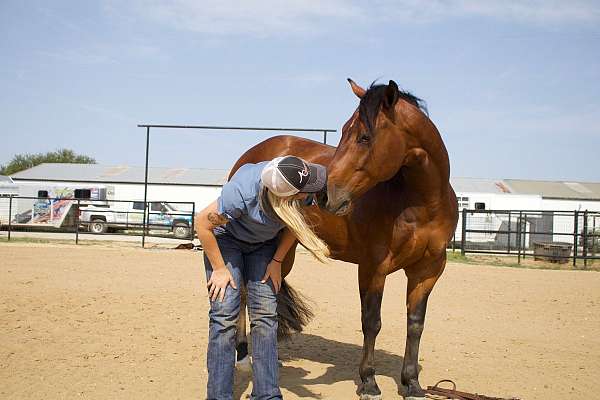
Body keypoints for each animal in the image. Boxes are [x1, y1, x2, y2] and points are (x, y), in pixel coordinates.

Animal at [227, 79, 458, 398]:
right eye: (343, 131)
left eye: (364, 137)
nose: (324, 195)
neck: (421, 204)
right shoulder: (373, 267)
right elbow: (371, 322)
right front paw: (369, 381)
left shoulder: (428, 270)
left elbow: (415, 324)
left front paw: (411, 383)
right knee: (244, 294)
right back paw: (242, 356)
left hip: (283, 253)